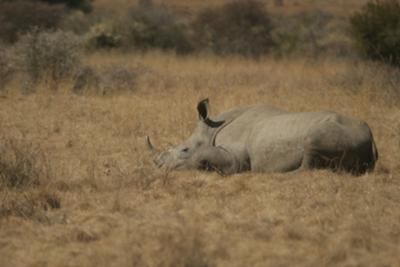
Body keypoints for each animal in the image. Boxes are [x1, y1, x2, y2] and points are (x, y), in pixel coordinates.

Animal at [147, 99, 378, 176]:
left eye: (184, 150)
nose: (160, 167)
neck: (211, 130)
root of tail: (371, 137)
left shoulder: (235, 159)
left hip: (336, 132)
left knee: (311, 144)